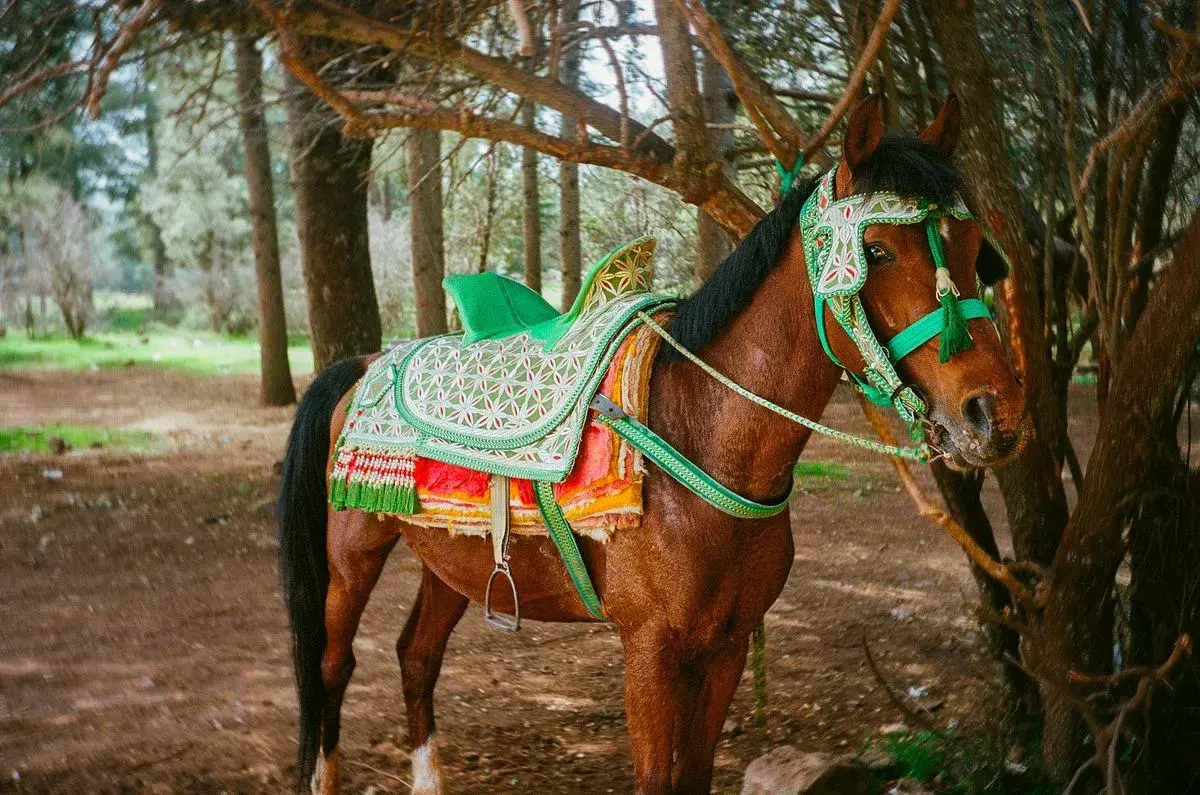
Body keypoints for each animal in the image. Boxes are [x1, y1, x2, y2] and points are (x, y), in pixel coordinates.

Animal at [276, 94, 1030, 794]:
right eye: (875, 250)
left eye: (973, 248)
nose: (994, 413)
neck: (697, 434)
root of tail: (365, 361)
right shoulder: (649, 650)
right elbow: (655, 778)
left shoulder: (727, 647)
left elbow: (693, 775)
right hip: (353, 558)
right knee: (332, 668)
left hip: (447, 562)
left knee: (416, 656)